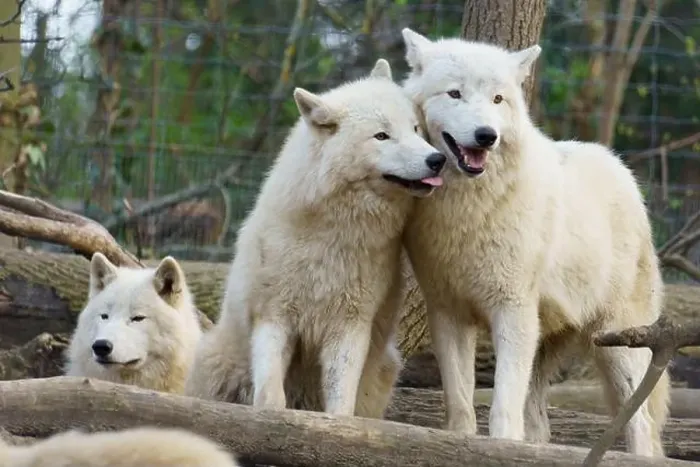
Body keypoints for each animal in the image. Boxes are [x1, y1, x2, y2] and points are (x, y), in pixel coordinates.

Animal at [184, 58, 446, 418]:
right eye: (382, 135)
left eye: (416, 129)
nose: (437, 159)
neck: (332, 236)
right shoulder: (274, 316)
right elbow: (269, 393)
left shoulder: (350, 325)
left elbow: (340, 400)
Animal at [399, 28, 668, 457]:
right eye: (455, 94)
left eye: (498, 99)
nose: (486, 136)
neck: (467, 207)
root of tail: (622, 170)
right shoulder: (448, 313)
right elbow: (460, 405)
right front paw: (460, 444)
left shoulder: (512, 310)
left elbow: (502, 408)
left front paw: (501, 448)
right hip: (547, 341)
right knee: (539, 421)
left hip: (618, 342)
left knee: (640, 421)